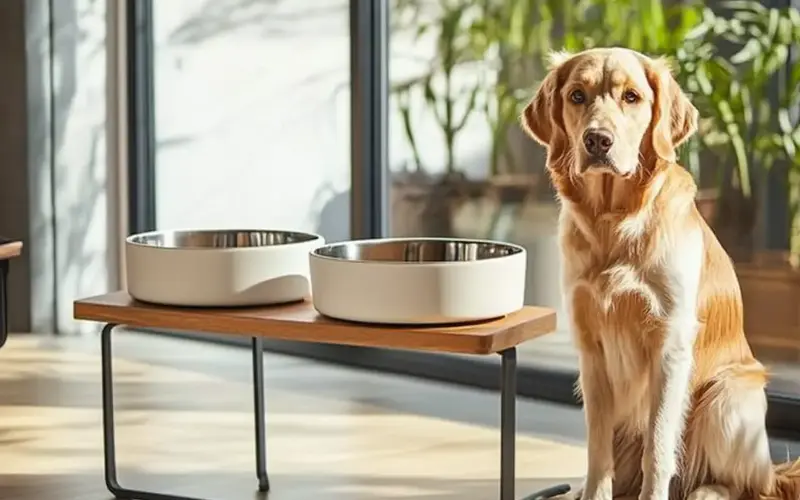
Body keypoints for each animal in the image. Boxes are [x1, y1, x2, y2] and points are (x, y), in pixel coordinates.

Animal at [520, 47, 800, 500]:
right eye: (577, 95)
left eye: (631, 97)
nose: (597, 140)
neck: (613, 221)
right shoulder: (590, 347)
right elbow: (598, 450)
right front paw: (593, 493)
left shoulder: (669, 343)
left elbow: (659, 446)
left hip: (726, 399)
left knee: (748, 485)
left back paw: (707, 491)